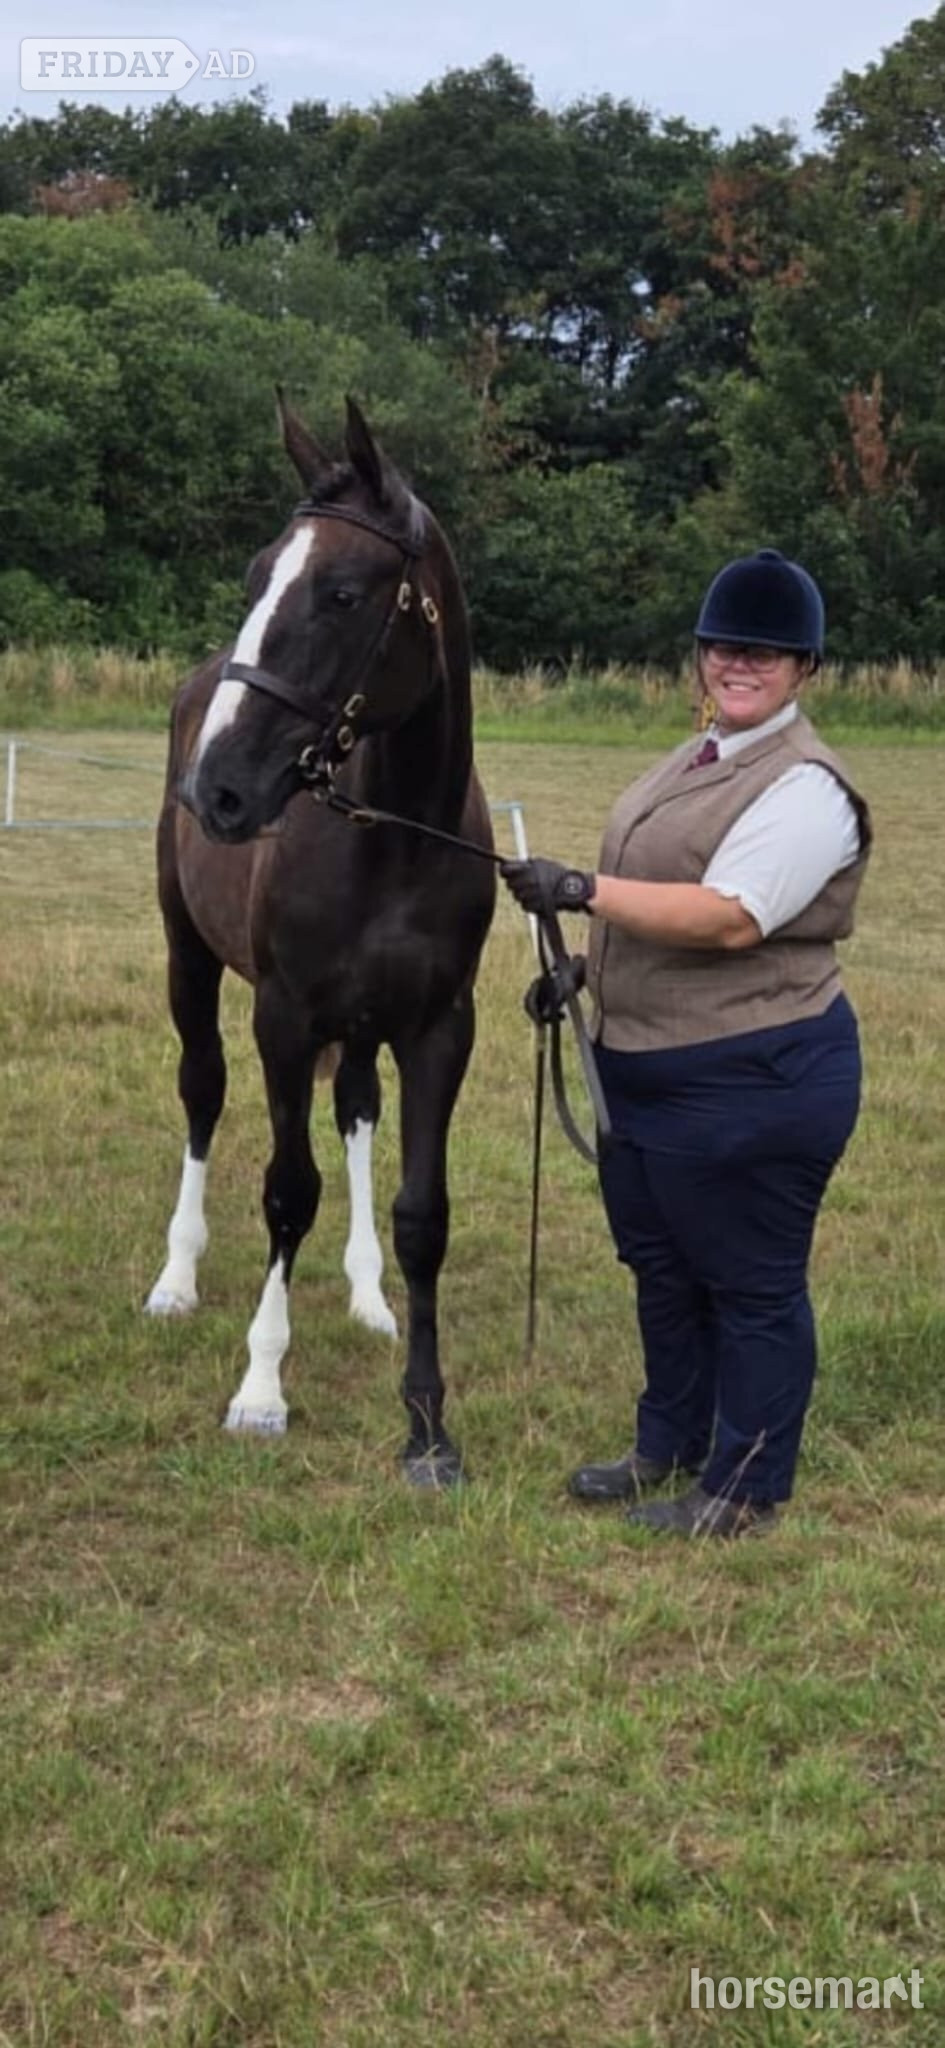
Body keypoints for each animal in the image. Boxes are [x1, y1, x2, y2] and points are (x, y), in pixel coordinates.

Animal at [145, 394, 496, 1486]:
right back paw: (174, 1278)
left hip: (364, 1028)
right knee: (202, 1093)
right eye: (257, 578)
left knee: (356, 1114)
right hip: (189, 960)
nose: (215, 789)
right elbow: (286, 1191)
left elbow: (423, 1213)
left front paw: (427, 1422)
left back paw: (366, 1295)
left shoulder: (437, 1029)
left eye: (341, 593)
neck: (394, 833)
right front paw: (261, 1388)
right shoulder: (285, 1019)